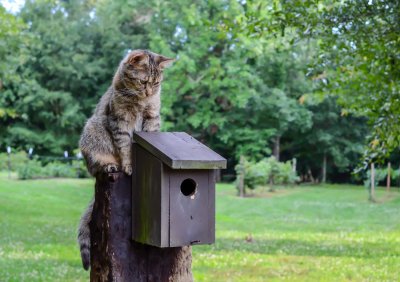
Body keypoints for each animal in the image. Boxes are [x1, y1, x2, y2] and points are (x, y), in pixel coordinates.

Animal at [77, 49, 173, 270]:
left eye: (156, 83)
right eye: (143, 81)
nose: (149, 92)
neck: (140, 101)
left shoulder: (152, 118)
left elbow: (149, 137)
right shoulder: (119, 121)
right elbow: (125, 147)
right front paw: (129, 164)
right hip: (92, 130)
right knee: (96, 166)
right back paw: (109, 165)